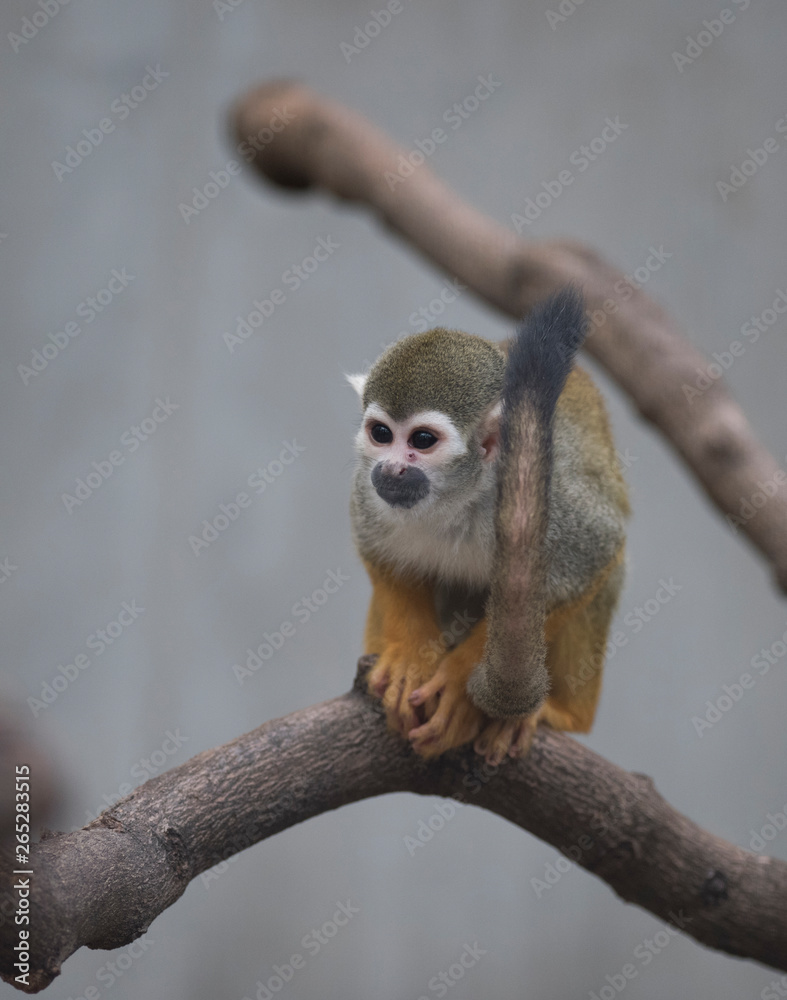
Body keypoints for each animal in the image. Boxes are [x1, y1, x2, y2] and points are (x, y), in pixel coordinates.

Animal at [347, 288, 629, 764]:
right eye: (381, 434)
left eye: (422, 440)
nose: (389, 468)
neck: (464, 495)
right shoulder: (369, 494)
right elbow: (381, 554)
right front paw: (409, 658)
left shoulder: (555, 506)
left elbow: (590, 559)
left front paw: (461, 685)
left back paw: (564, 715)